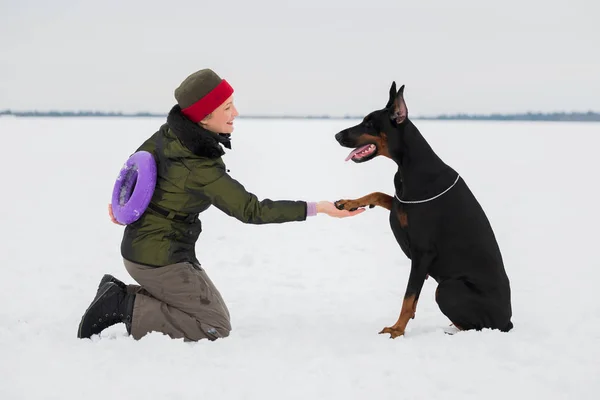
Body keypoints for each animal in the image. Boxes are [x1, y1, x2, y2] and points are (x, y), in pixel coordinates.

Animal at [332, 82, 510, 338]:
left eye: (368, 123)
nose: (336, 135)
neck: (409, 166)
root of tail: (508, 321)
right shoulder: (400, 204)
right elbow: (379, 194)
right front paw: (349, 202)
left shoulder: (422, 253)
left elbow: (408, 298)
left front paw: (397, 329)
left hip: (448, 287)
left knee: (477, 327)